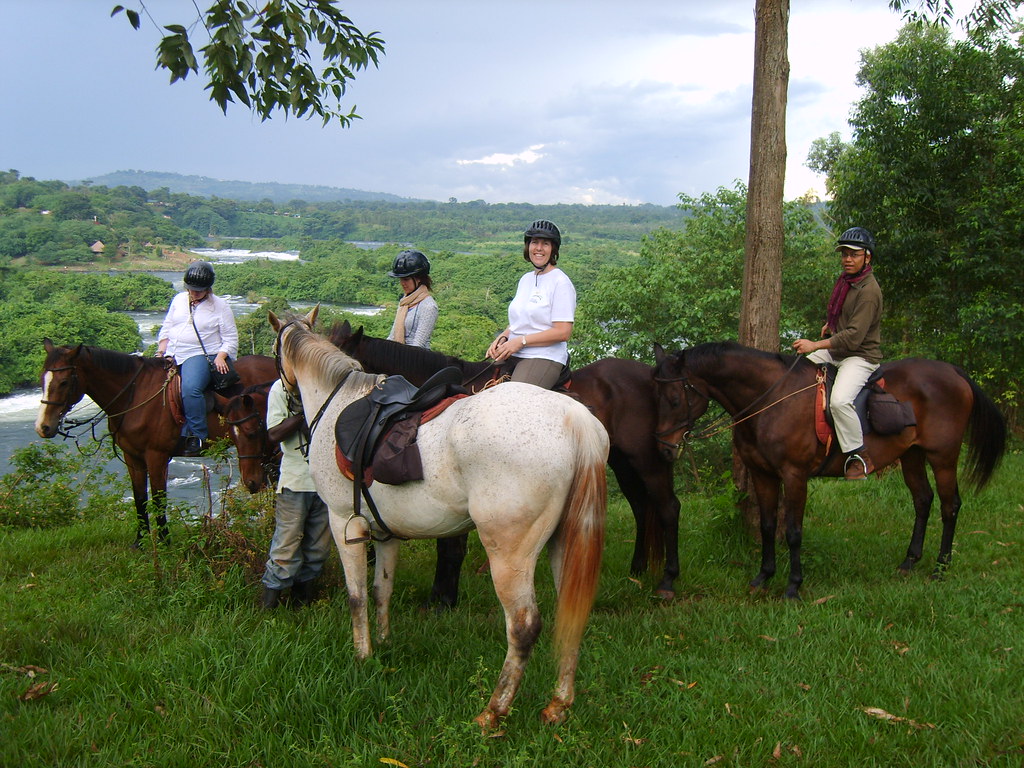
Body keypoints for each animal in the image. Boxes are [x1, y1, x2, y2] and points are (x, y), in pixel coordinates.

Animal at [35, 339, 280, 544]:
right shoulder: (132, 456)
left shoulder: (156, 456)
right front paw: (140, 542)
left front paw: (164, 543)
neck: (135, 397)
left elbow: (158, 499)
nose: (43, 427)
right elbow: (139, 498)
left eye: (64, 382)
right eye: (41, 379)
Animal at [268, 309, 610, 729]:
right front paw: (384, 643)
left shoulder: (344, 521)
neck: (338, 403)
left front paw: (363, 654)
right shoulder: (386, 533)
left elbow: (356, 595)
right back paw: (558, 705)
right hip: (566, 541)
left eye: (273, 354)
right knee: (570, 616)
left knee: (524, 626)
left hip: (509, 555)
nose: (285, 404)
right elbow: (382, 589)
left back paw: (493, 712)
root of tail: (575, 418)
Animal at [331, 321, 684, 606]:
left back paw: (667, 580)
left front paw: (442, 599)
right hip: (622, 462)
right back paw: (637, 569)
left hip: (649, 459)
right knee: (642, 507)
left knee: (668, 507)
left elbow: (450, 546)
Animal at [651, 342, 1003, 602]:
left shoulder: (794, 476)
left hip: (943, 457)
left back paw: (941, 567)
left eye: (674, 399)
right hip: (912, 455)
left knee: (949, 505)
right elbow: (767, 526)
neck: (770, 400)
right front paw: (763, 577)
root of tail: (952, 371)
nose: (664, 449)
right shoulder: (763, 475)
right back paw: (909, 562)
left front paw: (793, 586)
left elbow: (793, 531)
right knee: (923, 500)